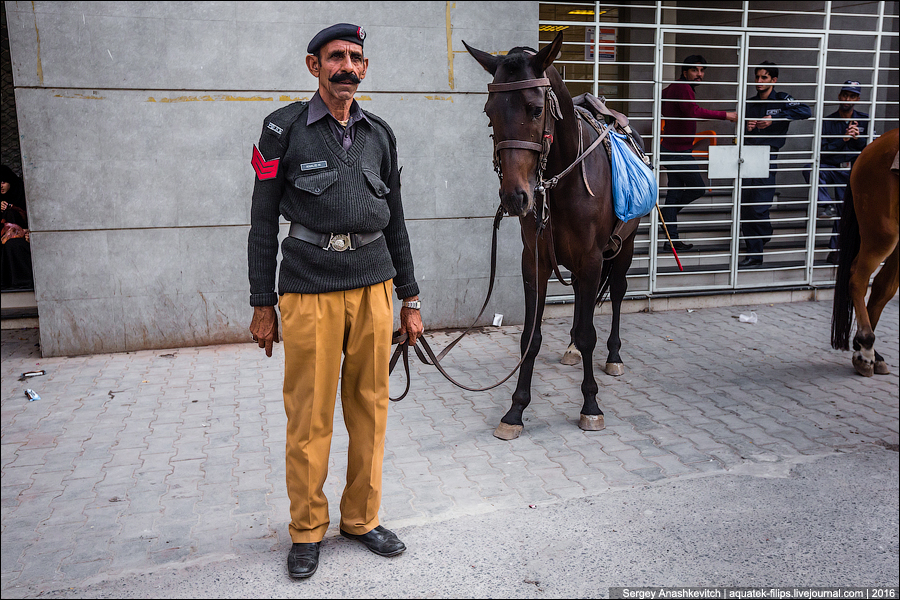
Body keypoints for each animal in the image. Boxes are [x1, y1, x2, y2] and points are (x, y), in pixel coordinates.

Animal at [464, 34, 640, 440]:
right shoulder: (536, 260)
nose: (515, 197)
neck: (562, 183)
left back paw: (613, 355)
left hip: (625, 247)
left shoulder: (592, 258)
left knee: (617, 293)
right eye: (490, 112)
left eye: (533, 110)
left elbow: (590, 330)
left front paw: (590, 406)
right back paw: (572, 349)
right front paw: (515, 410)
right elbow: (532, 336)